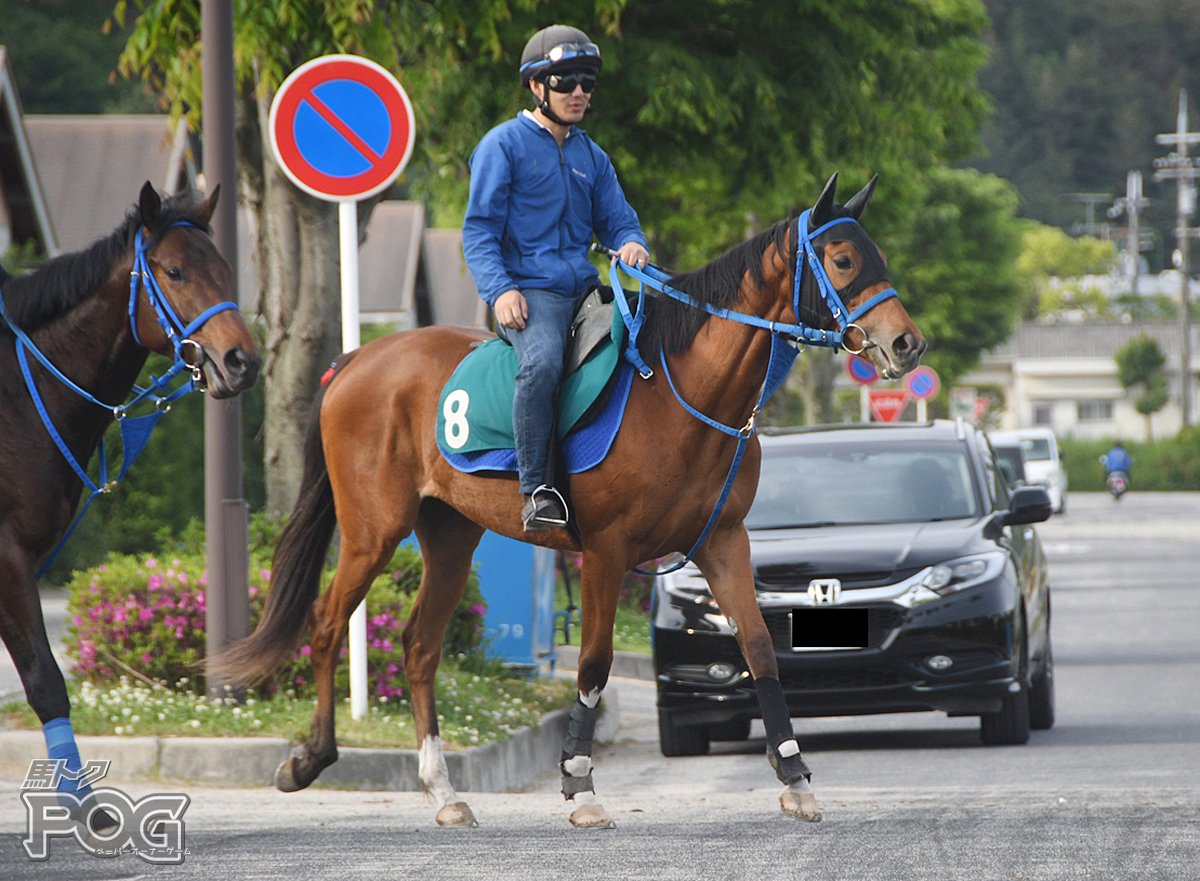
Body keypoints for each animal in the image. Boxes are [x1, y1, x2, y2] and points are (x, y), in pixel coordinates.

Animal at [0, 182, 260, 830]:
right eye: (175, 271)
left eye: (226, 269)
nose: (242, 361)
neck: (15, 396)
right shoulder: (7, 556)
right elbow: (45, 679)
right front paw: (82, 803)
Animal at [211, 172, 921, 825]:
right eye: (843, 260)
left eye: (878, 256)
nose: (908, 343)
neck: (677, 391)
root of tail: (355, 360)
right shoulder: (607, 552)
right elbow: (594, 665)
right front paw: (579, 785)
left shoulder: (723, 543)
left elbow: (759, 648)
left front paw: (796, 777)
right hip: (371, 532)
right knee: (329, 624)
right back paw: (310, 759)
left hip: (449, 536)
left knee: (419, 646)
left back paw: (444, 792)